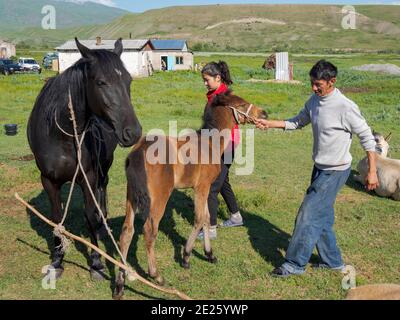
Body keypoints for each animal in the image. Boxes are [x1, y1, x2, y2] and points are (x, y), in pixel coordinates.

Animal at [27, 38, 142, 280]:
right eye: (101, 82)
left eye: (128, 80)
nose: (134, 132)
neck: (61, 134)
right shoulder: (48, 180)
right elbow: (56, 217)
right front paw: (57, 260)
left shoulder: (88, 176)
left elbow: (90, 216)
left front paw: (96, 263)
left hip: (104, 168)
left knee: (102, 191)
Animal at [112, 91, 268, 298]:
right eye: (242, 104)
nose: (264, 113)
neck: (210, 144)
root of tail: (138, 151)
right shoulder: (202, 187)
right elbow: (200, 218)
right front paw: (186, 257)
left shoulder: (204, 189)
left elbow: (207, 217)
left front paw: (209, 254)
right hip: (159, 197)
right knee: (149, 230)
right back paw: (157, 276)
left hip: (131, 195)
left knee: (126, 232)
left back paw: (120, 285)